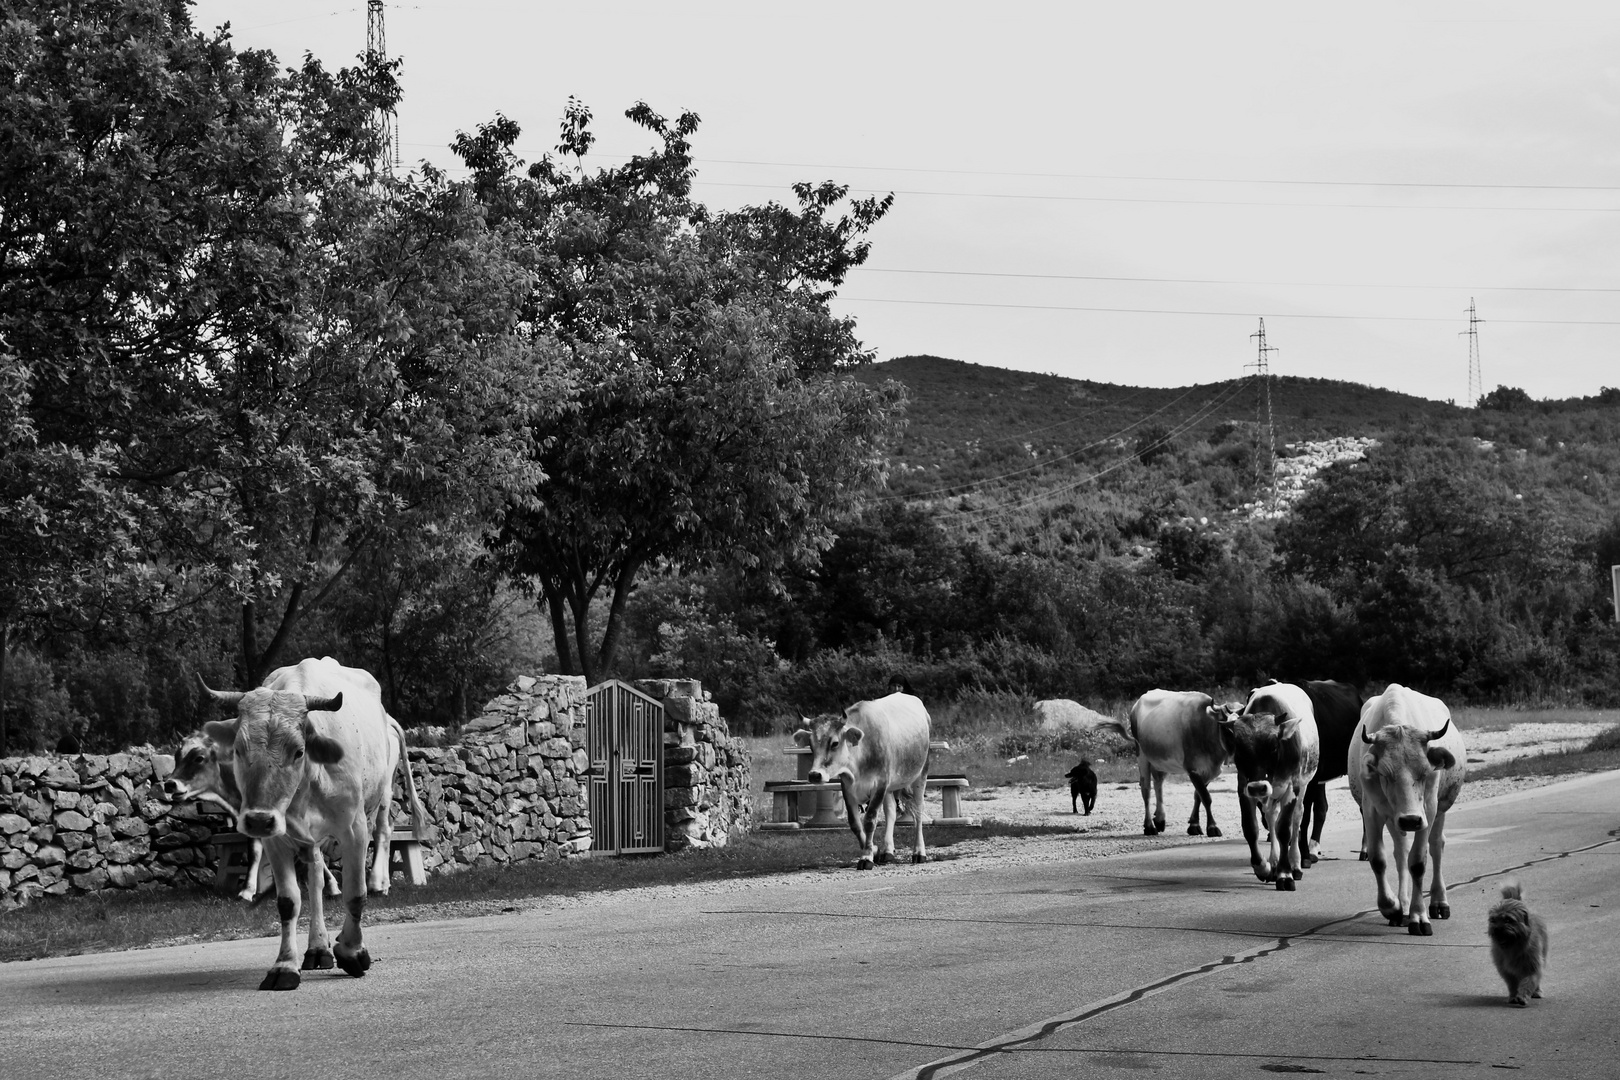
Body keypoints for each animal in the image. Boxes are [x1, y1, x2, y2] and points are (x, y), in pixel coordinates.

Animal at [793, 693, 933, 867]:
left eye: (835, 743)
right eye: (811, 744)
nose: (814, 775)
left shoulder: (879, 784)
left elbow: (870, 820)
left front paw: (866, 857)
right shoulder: (847, 787)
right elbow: (854, 823)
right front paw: (874, 849)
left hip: (921, 774)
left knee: (918, 812)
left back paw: (919, 852)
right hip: (889, 787)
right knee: (891, 812)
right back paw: (887, 851)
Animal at [1108, 693, 1231, 835]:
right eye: (1228, 727)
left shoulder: (1210, 771)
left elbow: (1198, 796)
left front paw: (1194, 825)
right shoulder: (1193, 769)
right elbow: (1206, 797)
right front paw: (1212, 827)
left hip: (1161, 761)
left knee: (1158, 784)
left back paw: (1160, 819)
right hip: (1141, 755)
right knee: (1146, 790)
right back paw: (1149, 826)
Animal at [1218, 680, 1321, 893]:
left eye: (1274, 746)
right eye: (1239, 750)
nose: (1259, 787)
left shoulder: (1291, 787)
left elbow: (1284, 830)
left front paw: (1285, 874)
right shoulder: (1244, 787)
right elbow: (1251, 828)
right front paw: (1263, 868)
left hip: (1303, 785)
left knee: (1298, 817)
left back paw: (1295, 865)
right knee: (1271, 816)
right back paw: (1273, 864)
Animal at [1341, 689, 1470, 932]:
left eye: (1425, 771)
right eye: (1384, 773)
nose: (1410, 820)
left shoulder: (1428, 811)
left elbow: (1418, 862)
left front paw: (1419, 916)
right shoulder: (1371, 811)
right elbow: (1378, 859)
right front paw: (1392, 907)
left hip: (1439, 810)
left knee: (1436, 846)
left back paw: (1439, 902)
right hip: (1394, 819)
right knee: (1401, 853)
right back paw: (1403, 904)